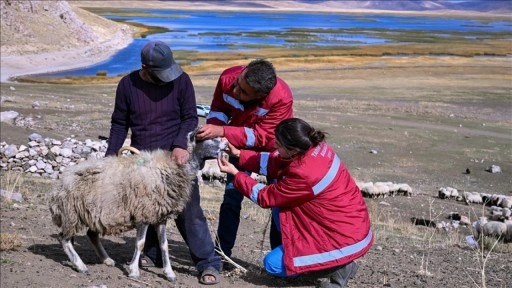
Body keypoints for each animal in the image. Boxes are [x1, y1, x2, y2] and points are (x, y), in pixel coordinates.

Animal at [48, 131, 226, 284]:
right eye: (209, 138)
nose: (226, 144)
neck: (173, 167)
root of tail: (63, 179)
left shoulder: (160, 216)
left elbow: (164, 246)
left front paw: (169, 273)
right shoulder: (144, 213)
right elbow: (140, 243)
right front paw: (133, 271)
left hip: (93, 213)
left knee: (91, 235)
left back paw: (107, 260)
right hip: (71, 213)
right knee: (64, 238)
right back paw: (81, 265)